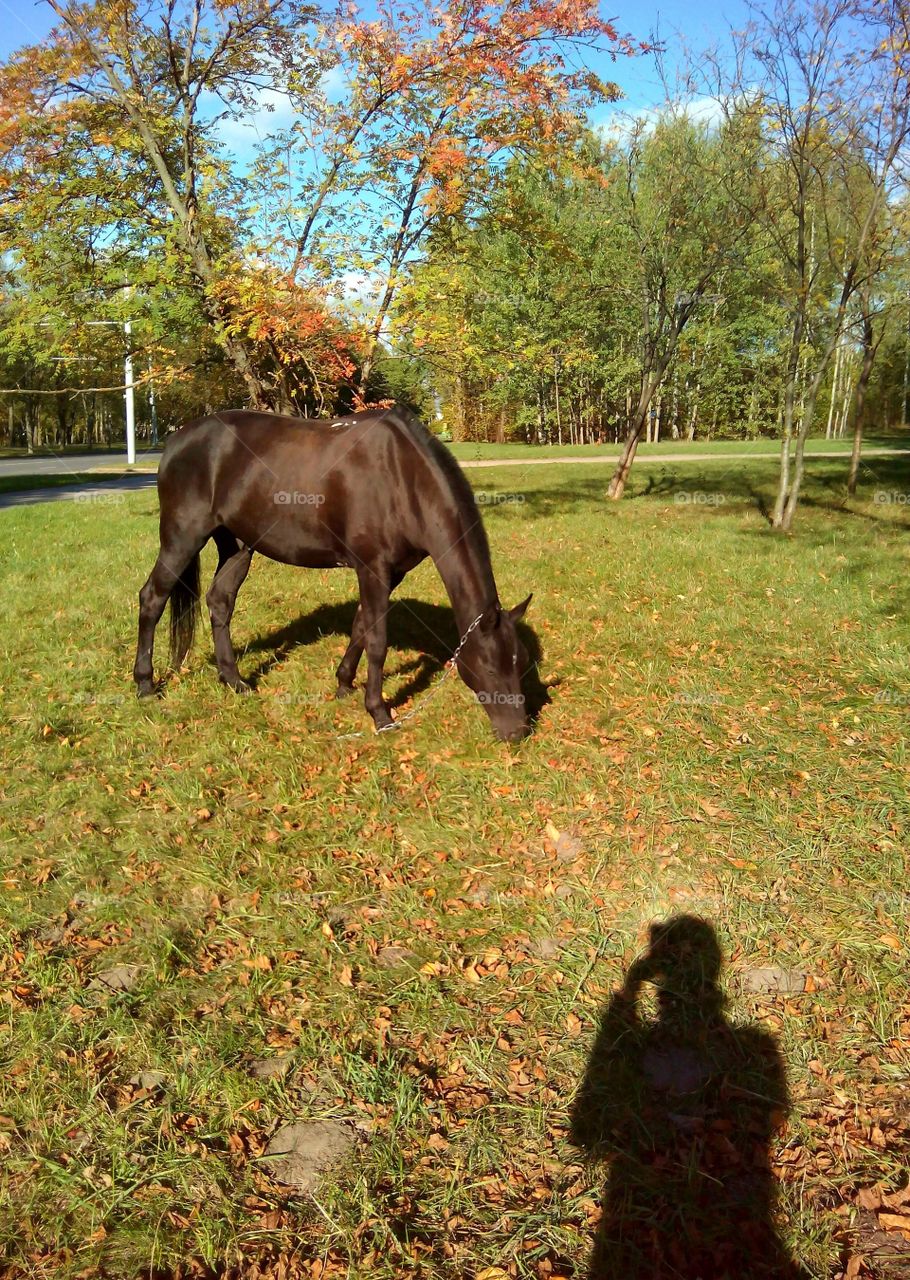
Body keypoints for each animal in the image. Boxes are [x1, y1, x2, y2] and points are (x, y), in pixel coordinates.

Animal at [133, 399, 534, 742]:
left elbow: (361, 626)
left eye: (521, 662)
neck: (402, 477)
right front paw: (379, 713)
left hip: (238, 547)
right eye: (490, 665)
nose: (517, 732)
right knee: (152, 598)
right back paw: (146, 686)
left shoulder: (391, 573)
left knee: (220, 601)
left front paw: (343, 684)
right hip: (183, 537)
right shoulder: (372, 568)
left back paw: (234, 681)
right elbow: (377, 641)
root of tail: (176, 440)